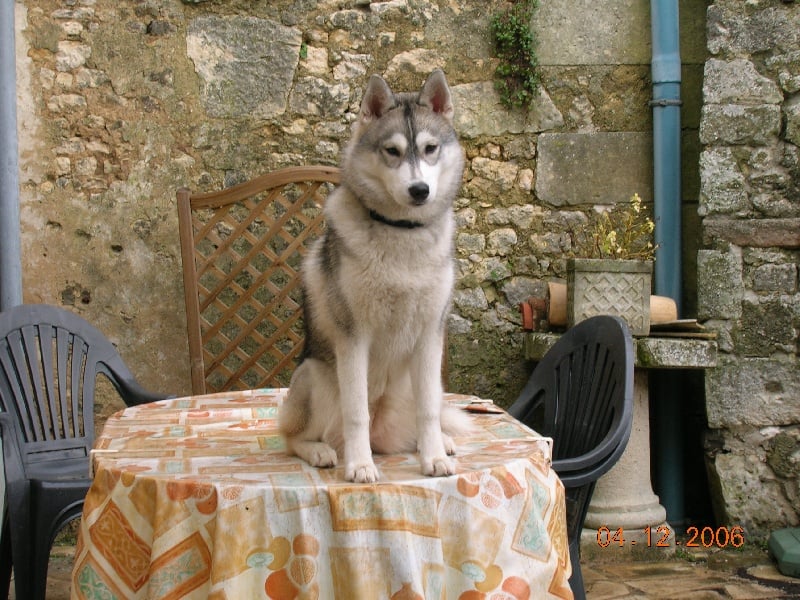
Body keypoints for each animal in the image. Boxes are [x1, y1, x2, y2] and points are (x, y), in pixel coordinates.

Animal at [282, 70, 468, 482]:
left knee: (424, 417)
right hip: (315, 378)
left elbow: (429, 411)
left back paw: (442, 442)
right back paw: (320, 451)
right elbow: (356, 413)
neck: (401, 232)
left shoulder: (430, 334)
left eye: (430, 148)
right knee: (292, 436)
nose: (419, 190)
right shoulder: (353, 336)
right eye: (392, 151)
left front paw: (434, 457)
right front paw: (359, 465)